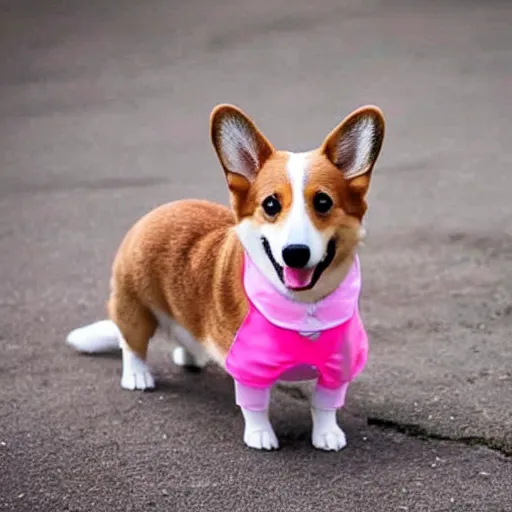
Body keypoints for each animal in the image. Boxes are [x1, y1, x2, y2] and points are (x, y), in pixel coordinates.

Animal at [67, 103, 384, 448]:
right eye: (270, 204)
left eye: (323, 202)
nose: (295, 253)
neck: (305, 309)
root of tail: (160, 211)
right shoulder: (249, 368)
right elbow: (255, 408)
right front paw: (261, 436)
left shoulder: (338, 369)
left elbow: (325, 405)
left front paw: (327, 435)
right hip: (134, 308)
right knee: (131, 344)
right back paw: (138, 375)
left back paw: (192, 357)